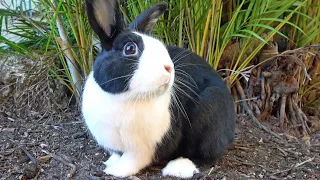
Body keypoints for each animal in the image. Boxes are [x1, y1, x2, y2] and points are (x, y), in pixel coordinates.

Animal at [81, 0, 236, 179]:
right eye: (129, 48)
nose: (169, 68)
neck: (125, 97)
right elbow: (118, 154)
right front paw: (111, 162)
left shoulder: (142, 148)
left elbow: (132, 161)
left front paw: (116, 171)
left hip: (210, 109)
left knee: (207, 154)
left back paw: (177, 168)